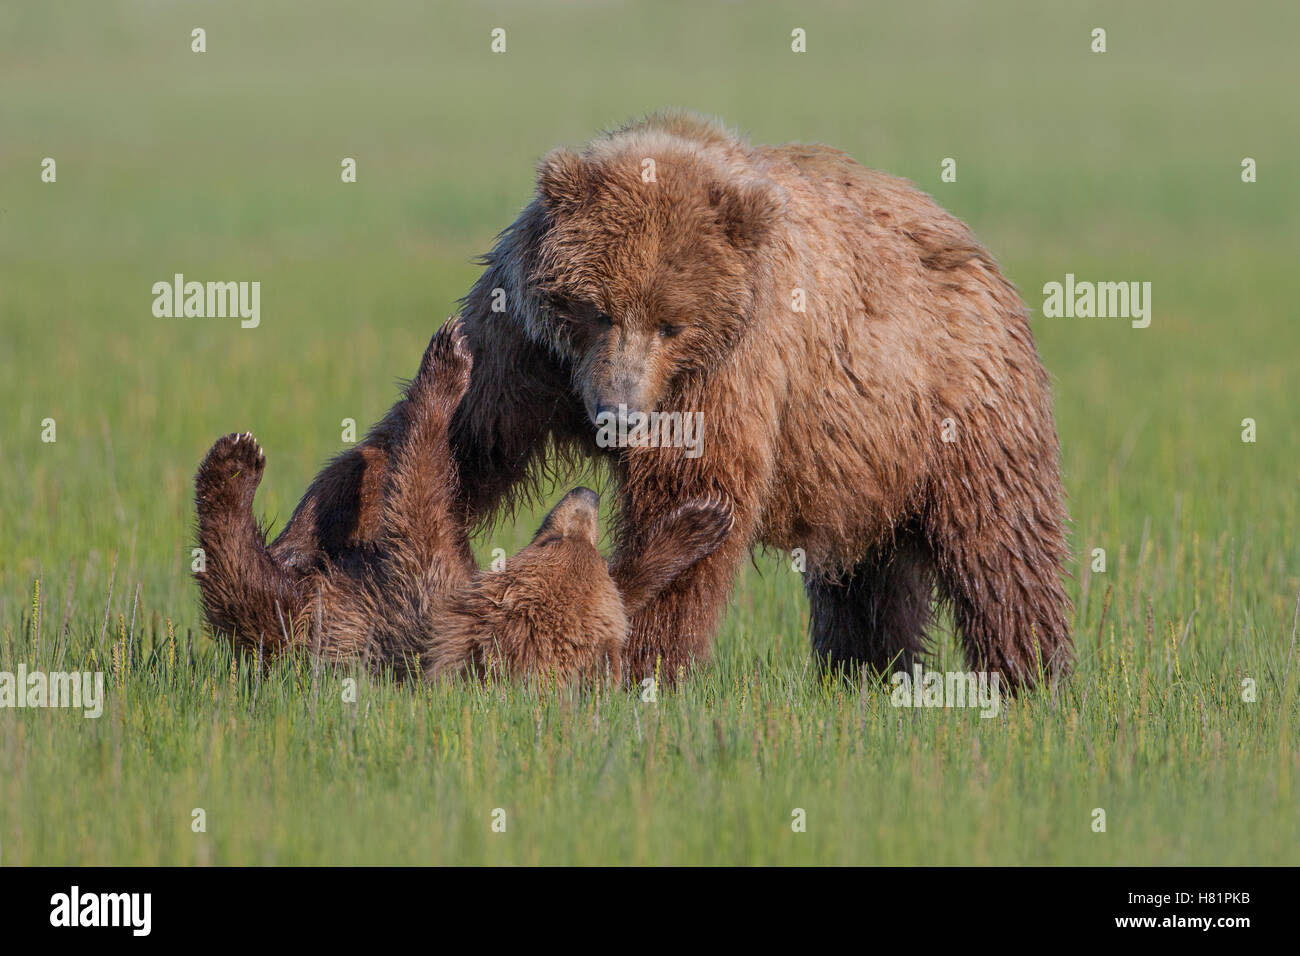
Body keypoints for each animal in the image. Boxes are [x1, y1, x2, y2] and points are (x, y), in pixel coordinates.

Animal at [193, 318, 734, 684]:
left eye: (557, 540)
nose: (586, 494)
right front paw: (698, 521)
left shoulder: (422, 592)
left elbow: (418, 496)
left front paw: (448, 361)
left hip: (301, 622)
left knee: (241, 579)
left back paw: (236, 464)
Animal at [271, 111, 1073, 690]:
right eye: (595, 308)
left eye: (672, 322)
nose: (618, 414)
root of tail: (968, 239)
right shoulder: (521, 346)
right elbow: (461, 442)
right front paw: (304, 540)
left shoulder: (730, 368)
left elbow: (694, 488)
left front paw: (644, 663)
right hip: (866, 459)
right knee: (869, 577)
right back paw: (866, 673)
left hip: (959, 404)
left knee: (1001, 544)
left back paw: (1033, 677)